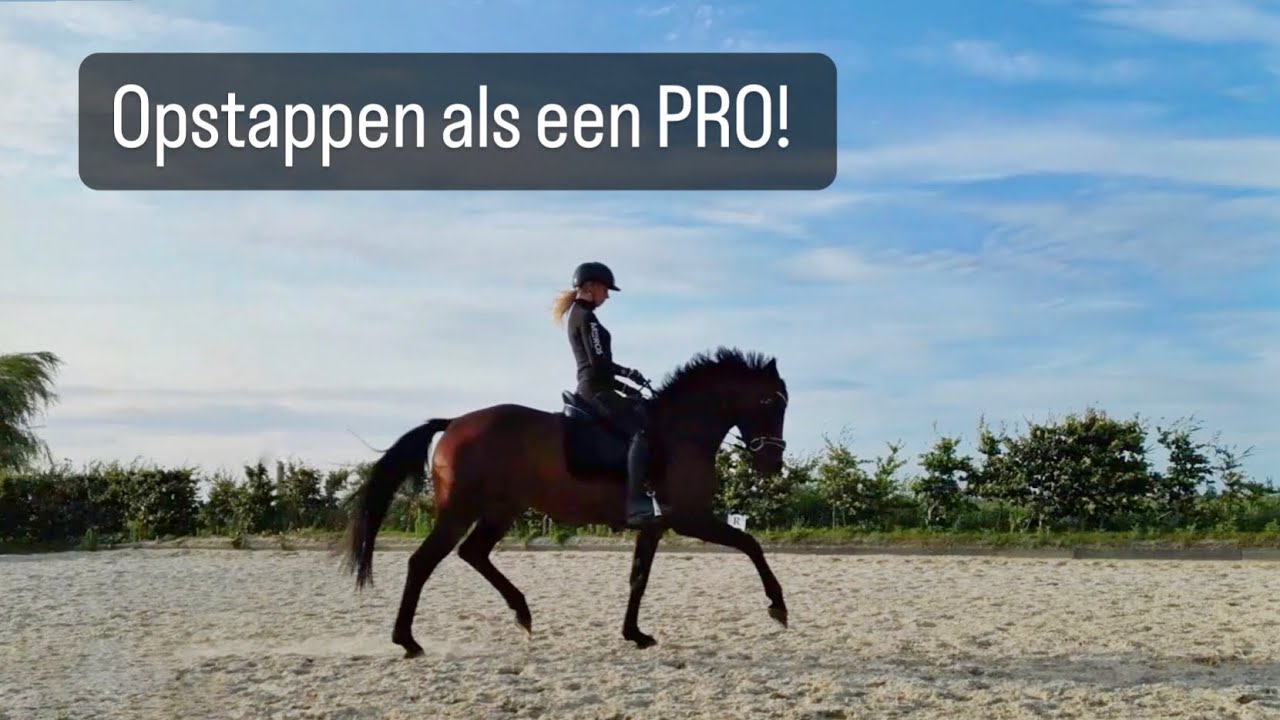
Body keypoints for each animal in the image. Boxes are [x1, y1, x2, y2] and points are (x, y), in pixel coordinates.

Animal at [342, 346, 791, 657]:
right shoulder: (690, 518)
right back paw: (408, 641)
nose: (773, 463)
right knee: (423, 561)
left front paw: (635, 634)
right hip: (461, 511)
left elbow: (639, 579)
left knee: (473, 552)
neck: (680, 432)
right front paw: (778, 607)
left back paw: (521, 614)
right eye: (770, 402)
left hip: (501, 509)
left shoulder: (654, 525)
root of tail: (453, 424)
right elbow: (750, 544)